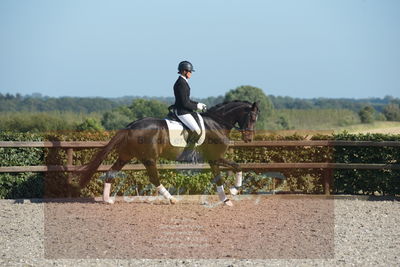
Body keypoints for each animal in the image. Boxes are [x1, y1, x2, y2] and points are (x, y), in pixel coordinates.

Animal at [77, 100, 260, 207]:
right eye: (252, 117)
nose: (249, 138)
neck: (216, 123)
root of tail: (131, 126)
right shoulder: (215, 158)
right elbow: (230, 172)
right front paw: (229, 196)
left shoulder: (214, 159)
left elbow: (231, 171)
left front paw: (230, 194)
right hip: (149, 159)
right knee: (154, 179)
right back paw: (172, 199)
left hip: (126, 156)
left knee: (111, 172)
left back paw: (107, 200)